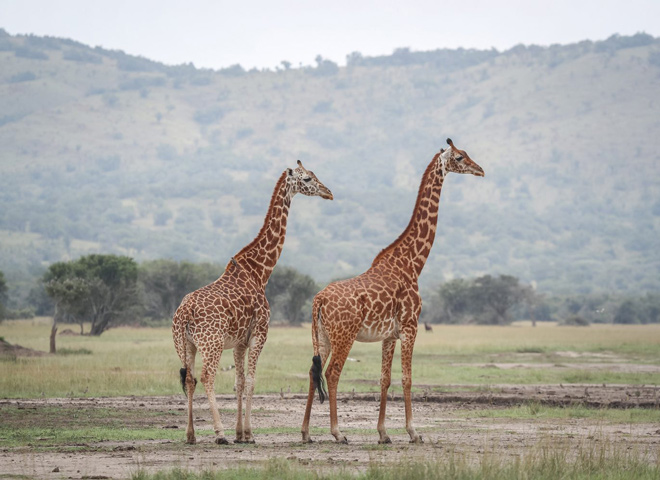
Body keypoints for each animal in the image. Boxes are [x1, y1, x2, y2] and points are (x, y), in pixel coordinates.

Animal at [173, 160, 333, 445]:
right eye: (307, 178)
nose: (328, 192)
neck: (260, 271)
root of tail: (185, 313)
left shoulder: (239, 341)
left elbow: (238, 381)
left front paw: (240, 433)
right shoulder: (260, 333)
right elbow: (251, 381)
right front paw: (247, 433)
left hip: (185, 345)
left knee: (189, 379)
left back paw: (190, 435)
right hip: (211, 343)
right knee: (206, 377)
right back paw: (219, 434)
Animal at [301, 139, 484, 444]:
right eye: (460, 157)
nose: (480, 170)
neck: (412, 262)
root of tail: (319, 300)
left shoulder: (389, 335)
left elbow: (384, 379)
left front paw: (383, 433)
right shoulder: (411, 326)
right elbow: (407, 378)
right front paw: (413, 432)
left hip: (322, 337)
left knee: (313, 372)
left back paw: (304, 432)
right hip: (344, 336)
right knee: (333, 373)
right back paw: (338, 433)